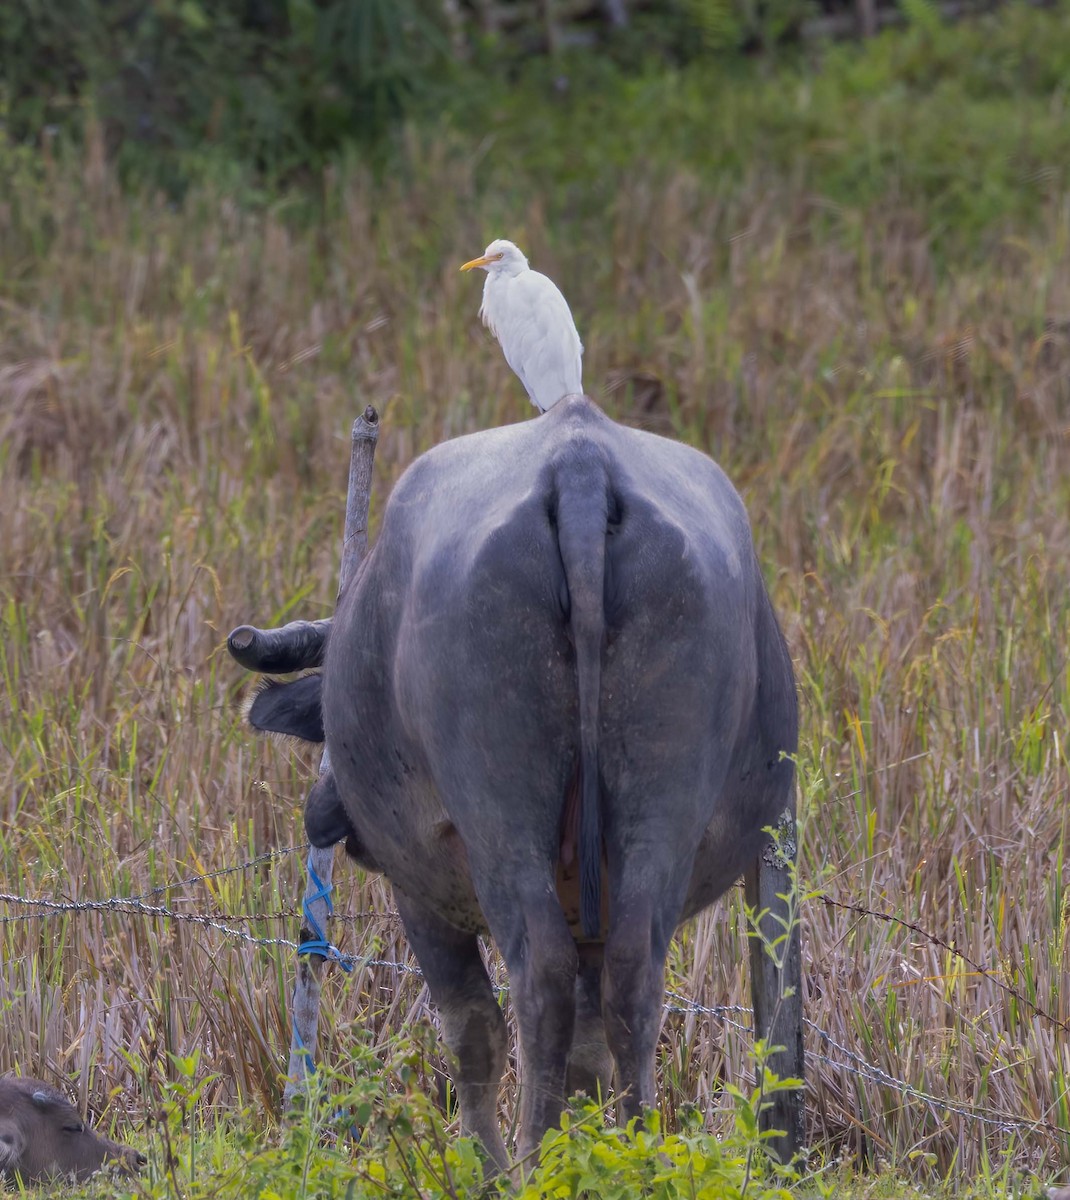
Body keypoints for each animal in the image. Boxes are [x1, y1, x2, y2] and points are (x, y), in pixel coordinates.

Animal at [246, 396, 799, 1168]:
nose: (323, 818)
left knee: (537, 978)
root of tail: (580, 465)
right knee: (634, 982)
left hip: (495, 825)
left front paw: (490, 1162)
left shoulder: (422, 892)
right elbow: (589, 1054)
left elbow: (472, 1027)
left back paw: (528, 1162)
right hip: (663, 817)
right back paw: (633, 1154)